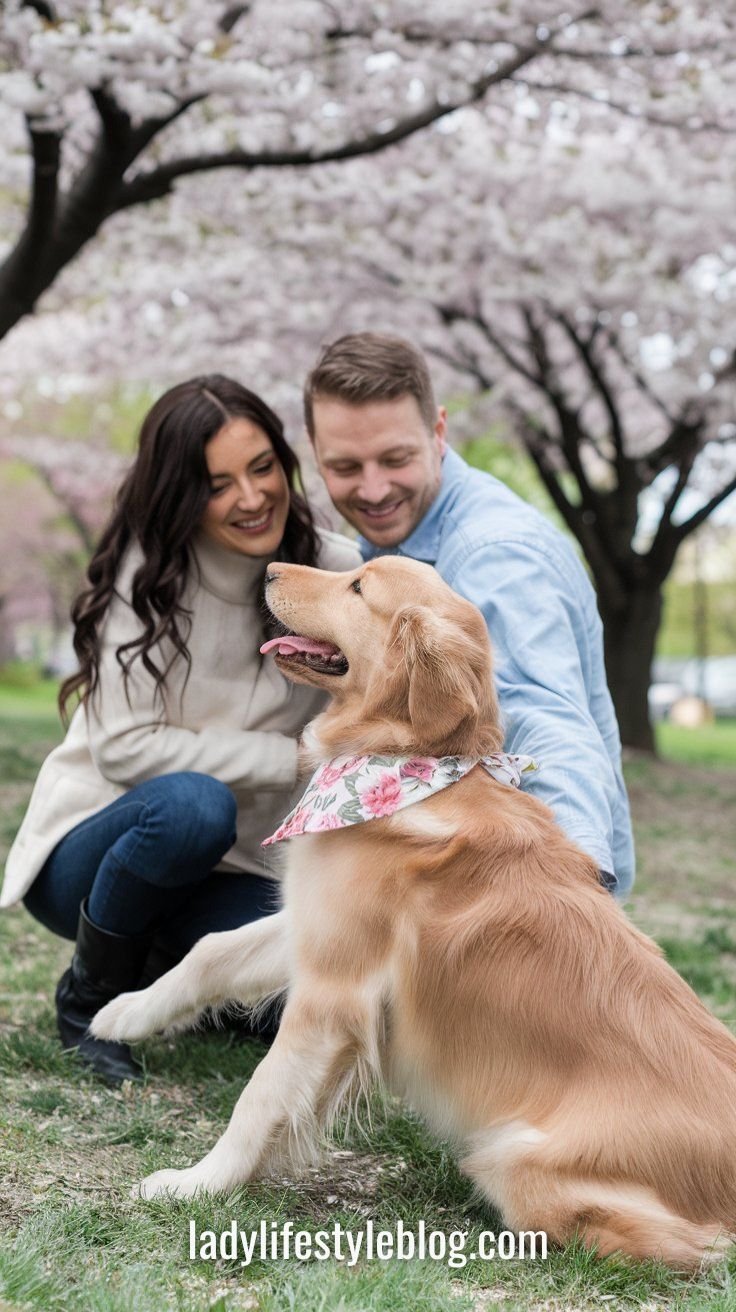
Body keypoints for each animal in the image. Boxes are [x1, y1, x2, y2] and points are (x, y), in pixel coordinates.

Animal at [93, 556, 734, 1270]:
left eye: (357, 587)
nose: (269, 569)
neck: (404, 767)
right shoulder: (316, 926)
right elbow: (210, 950)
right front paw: (126, 1012)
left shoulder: (333, 994)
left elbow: (260, 1094)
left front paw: (196, 1184)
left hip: (513, 1160)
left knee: (680, 1244)